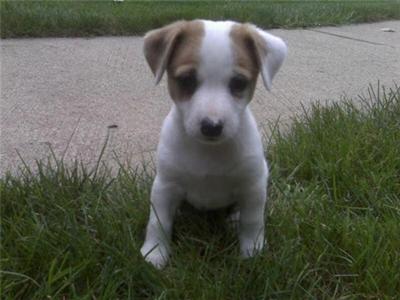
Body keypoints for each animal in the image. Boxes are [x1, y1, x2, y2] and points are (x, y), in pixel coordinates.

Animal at [141, 19, 288, 268]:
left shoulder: (253, 185)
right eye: (186, 80)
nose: (211, 126)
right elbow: (158, 222)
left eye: (238, 82)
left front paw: (252, 251)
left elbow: (252, 221)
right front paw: (154, 253)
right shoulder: (165, 185)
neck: (208, 152)